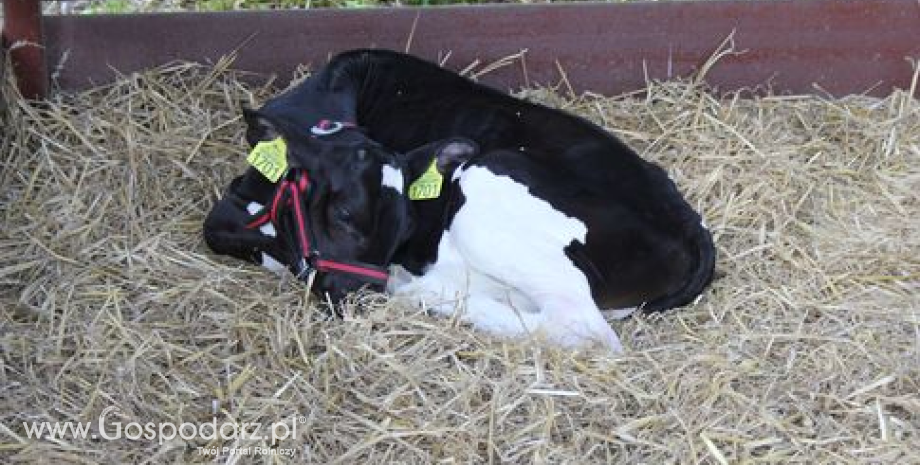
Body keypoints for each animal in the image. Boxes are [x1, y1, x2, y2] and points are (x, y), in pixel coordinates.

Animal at [205, 49, 716, 350]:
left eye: (404, 226)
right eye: (344, 214)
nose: (359, 294)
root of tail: (693, 227)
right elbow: (220, 230)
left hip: (491, 183)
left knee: (576, 324)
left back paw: (419, 292)